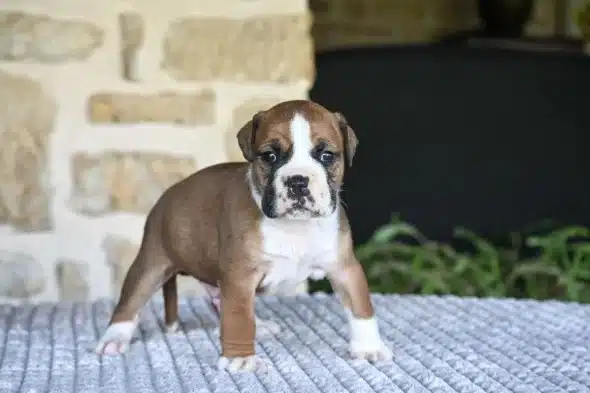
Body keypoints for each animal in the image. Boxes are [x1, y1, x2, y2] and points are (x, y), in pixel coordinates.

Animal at [96, 98, 394, 370]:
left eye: (327, 156)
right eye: (270, 156)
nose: (298, 181)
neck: (295, 227)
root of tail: (166, 196)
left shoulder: (345, 268)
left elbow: (361, 308)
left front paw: (368, 347)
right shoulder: (239, 277)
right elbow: (238, 317)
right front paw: (238, 358)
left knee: (221, 303)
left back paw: (258, 325)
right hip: (151, 263)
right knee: (130, 303)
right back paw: (114, 338)